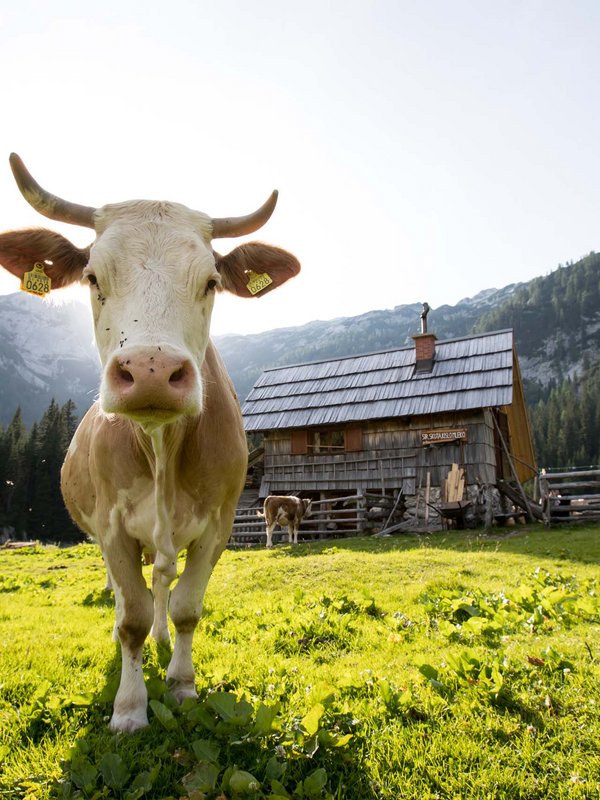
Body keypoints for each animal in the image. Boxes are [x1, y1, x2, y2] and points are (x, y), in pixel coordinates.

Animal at [0, 153, 300, 736]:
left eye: (210, 282)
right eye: (92, 276)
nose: (152, 372)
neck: (161, 447)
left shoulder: (219, 524)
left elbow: (185, 606)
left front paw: (181, 685)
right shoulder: (113, 527)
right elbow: (131, 618)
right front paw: (129, 708)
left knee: (162, 580)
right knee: (131, 595)